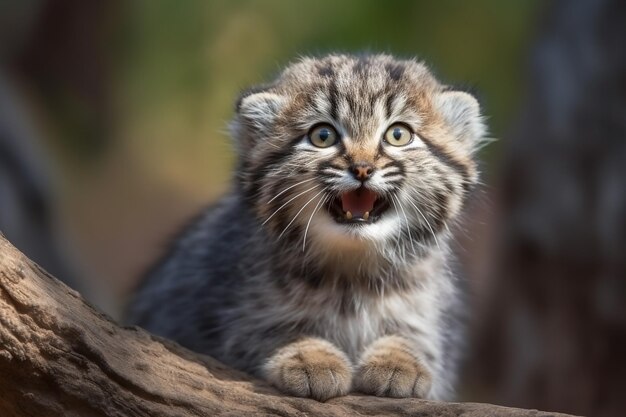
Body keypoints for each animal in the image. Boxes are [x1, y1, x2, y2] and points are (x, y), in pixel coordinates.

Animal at [127, 52, 486, 400]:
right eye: (322, 136)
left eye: (398, 135)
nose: (362, 169)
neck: (351, 273)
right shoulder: (217, 314)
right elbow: (268, 329)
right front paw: (309, 357)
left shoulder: (436, 317)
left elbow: (419, 341)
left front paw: (399, 361)